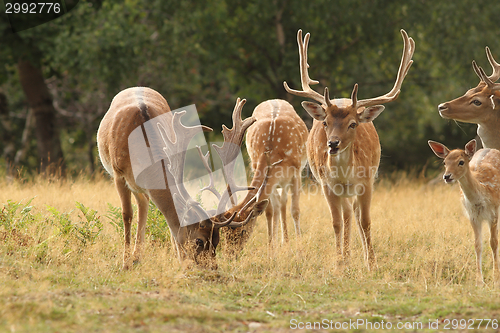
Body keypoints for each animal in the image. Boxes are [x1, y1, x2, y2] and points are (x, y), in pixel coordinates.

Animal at [97, 87, 270, 268]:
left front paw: (178, 258)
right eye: (199, 241)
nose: (213, 267)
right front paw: (125, 264)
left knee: (144, 203)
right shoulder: (118, 174)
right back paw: (133, 258)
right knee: (139, 207)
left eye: (217, 240)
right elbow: (127, 214)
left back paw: (138, 257)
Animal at [284, 29, 416, 270]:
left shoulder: (367, 182)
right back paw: (346, 257)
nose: (332, 143)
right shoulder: (327, 185)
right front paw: (339, 263)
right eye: (325, 122)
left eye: (353, 124)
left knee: (354, 213)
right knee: (346, 214)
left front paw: (371, 263)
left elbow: (365, 221)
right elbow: (336, 222)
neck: (345, 176)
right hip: (338, 190)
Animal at [428, 138, 500, 286]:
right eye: (445, 162)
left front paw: (496, 279)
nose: (446, 176)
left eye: (461, 162)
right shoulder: (473, 216)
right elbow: (478, 245)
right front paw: (479, 281)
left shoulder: (494, 212)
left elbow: (494, 243)